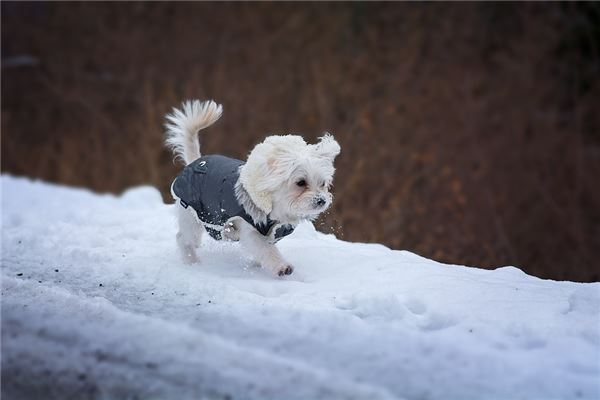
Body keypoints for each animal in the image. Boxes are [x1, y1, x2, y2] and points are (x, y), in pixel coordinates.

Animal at [164, 99, 342, 276]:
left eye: (323, 184)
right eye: (301, 183)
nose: (321, 200)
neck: (276, 208)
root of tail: (195, 161)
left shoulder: (273, 233)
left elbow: (263, 251)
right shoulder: (250, 230)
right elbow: (266, 250)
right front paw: (281, 266)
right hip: (191, 215)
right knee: (183, 238)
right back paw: (191, 261)